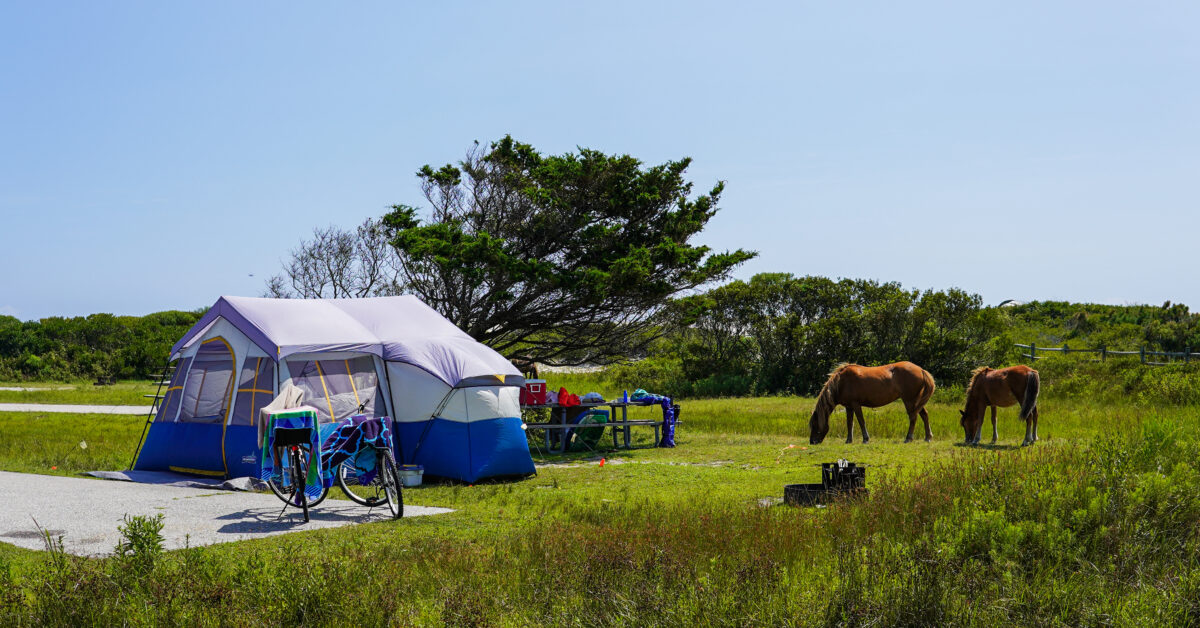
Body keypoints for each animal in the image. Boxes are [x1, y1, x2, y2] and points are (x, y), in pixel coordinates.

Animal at [806, 360, 936, 444]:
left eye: (815, 425)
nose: (812, 442)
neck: (841, 383)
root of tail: (921, 370)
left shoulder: (856, 404)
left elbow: (861, 421)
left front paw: (865, 439)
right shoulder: (849, 407)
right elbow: (850, 423)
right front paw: (848, 440)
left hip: (909, 400)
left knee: (913, 417)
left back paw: (908, 438)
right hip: (916, 401)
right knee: (924, 415)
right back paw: (928, 437)